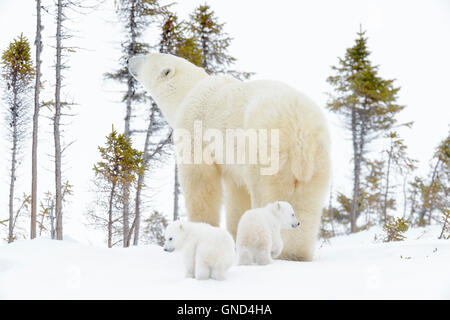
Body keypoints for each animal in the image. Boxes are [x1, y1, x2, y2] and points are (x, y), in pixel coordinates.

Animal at [128, 53, 332, 262]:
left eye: (146, 55)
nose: (129, 59)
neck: (188, 92)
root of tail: (299, 128)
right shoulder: (234, 160)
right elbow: (237, 192)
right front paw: (235, 236)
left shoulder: (195, 130)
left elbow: (200, 183)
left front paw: (200, 229)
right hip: (318, 158)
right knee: (307, 203)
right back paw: (294, 254)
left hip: (268, 151)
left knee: (270, 194)